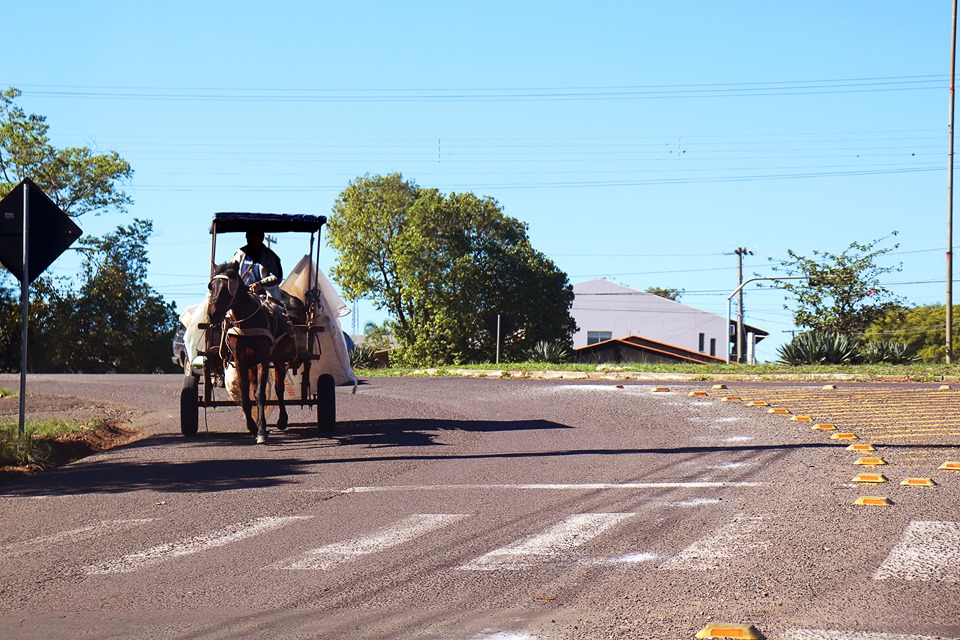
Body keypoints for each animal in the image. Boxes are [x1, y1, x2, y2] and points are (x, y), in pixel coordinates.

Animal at [208, 262, 298, 442]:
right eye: (211, 286)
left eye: (228, 288)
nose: (212, 314)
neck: (247, 323)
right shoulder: (240, 361)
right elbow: (245, 396)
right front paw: (252, 426)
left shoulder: (263, 359)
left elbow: (260, 395)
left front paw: (262, 431)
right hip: (251, 365)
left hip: (278, 360)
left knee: (278, 388)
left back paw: (282, 420)